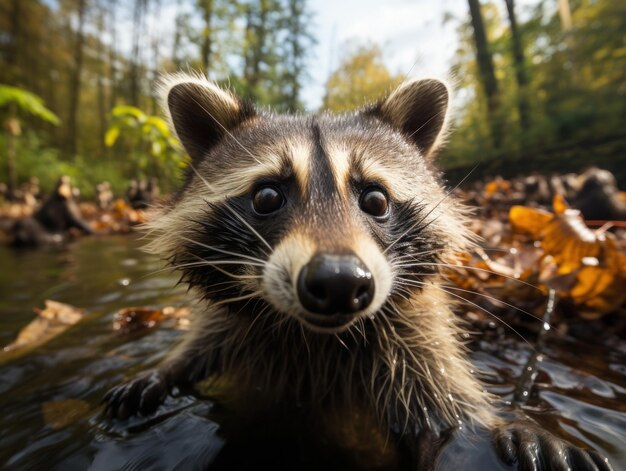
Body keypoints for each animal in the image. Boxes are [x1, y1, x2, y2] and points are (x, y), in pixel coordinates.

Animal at [105, 74, 612, 471]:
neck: (318, 340)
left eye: (375, 199)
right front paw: (169, 367)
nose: (338, 281)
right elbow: (203, 343)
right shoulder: (232, 328)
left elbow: (451, 419)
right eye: (267, 197)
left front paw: (503, 425)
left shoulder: (417, 344)